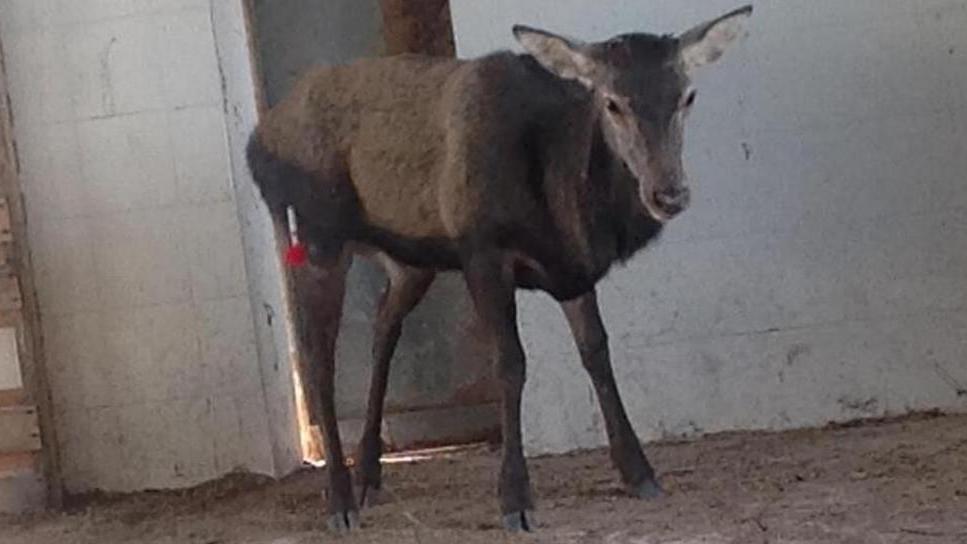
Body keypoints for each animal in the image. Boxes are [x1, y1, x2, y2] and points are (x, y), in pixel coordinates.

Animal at [246, 5, 752, 532]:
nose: (669, 193)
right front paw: (515, 498)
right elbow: (510, 363)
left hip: (410, 262)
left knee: (382, 331)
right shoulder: (483, 251)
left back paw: (369, 474)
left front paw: (640, 472)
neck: (563, 206)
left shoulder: (570, 269)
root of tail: (256, 142)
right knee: (317, 355)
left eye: (687, 95)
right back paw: (340, 499)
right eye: (612, 103)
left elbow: (597, 351)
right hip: (321, 236)